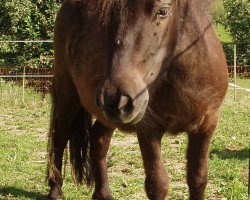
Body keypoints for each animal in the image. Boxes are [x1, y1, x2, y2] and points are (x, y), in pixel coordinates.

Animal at [47, 0, 229, 199]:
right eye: (112, 14)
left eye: (162, 11)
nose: (115, 98)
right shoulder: (149, 129)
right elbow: (157, 185)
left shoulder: (206, 126)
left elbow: (198, 179)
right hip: (68, 96)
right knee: (60, 138)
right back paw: (55, 191)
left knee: (98, 140)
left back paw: (103, 194)